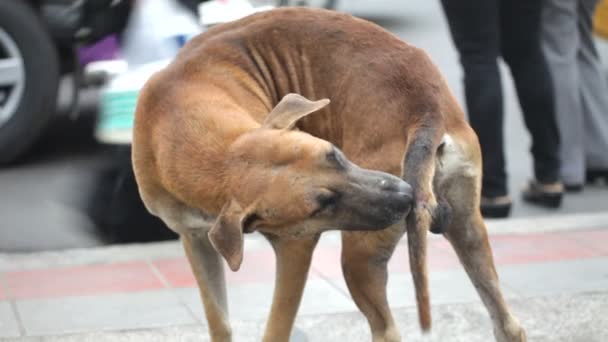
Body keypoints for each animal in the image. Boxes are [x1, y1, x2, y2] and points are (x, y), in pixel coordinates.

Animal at [132, 6, 524, 342]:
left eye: (335, 154)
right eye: (321, 204)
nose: (406, 196)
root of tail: (426, 107)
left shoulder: (296, 246)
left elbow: (276, 327)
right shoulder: (195, 240)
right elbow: (219, 321)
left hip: (360, 259)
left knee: (386, 329)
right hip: (468, 229)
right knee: (508, 323)